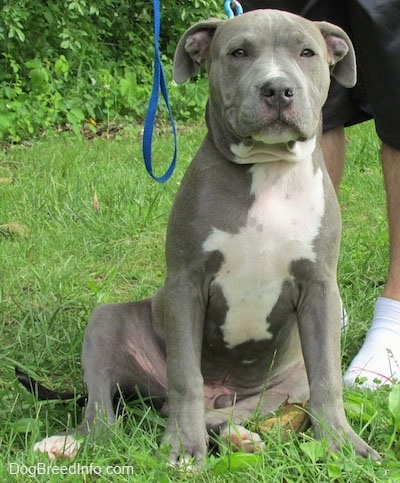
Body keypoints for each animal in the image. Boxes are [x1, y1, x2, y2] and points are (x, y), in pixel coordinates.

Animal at [32, 9, 380, 466]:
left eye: (307, 52)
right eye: (238, 52)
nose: (278, 89)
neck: (267, 169)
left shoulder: (320, 287)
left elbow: (328, 379)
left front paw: (342, 443)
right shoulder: (186, 283)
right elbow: (185, 377)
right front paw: (183, 445)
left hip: (285, 382)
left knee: (236, 411)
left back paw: (237, 437)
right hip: (106, 322)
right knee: (103, 410)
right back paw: (68, 443)